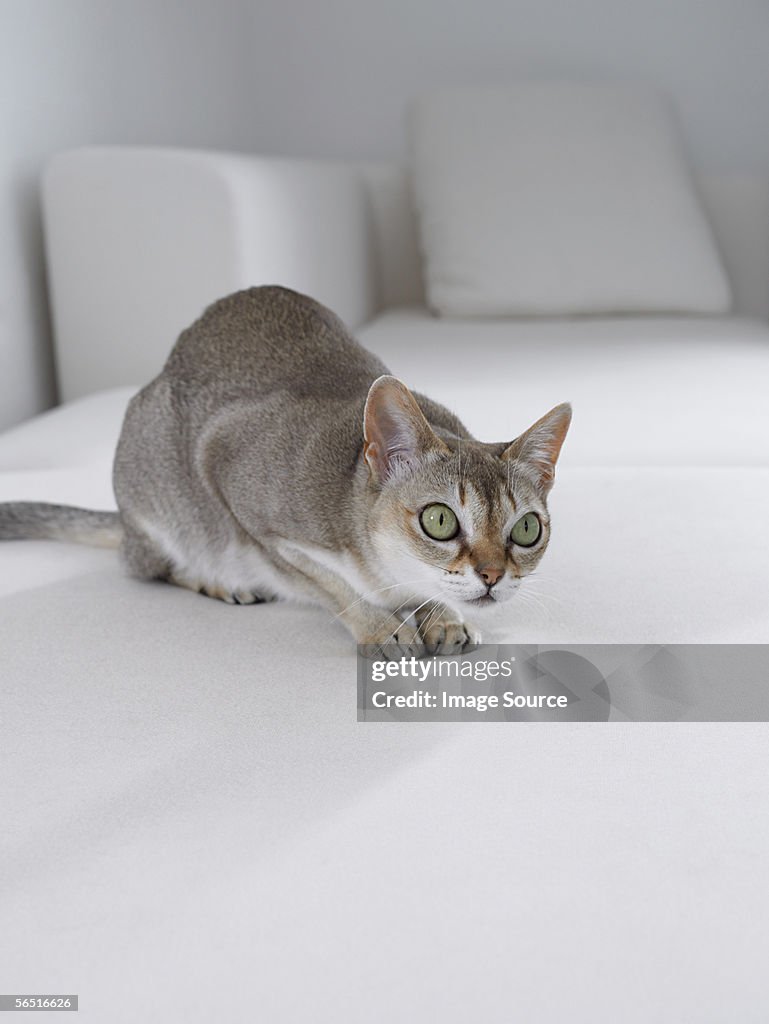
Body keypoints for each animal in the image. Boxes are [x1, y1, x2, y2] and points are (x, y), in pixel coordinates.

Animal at [0, 288, 569, 655]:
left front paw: (441, 615)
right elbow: (327, 584)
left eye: (526, 529)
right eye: (440, 521)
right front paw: (380, 626)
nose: (493, 576)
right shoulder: (234, 481)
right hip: (155, 486)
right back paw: (219, 580)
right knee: (150, 564)